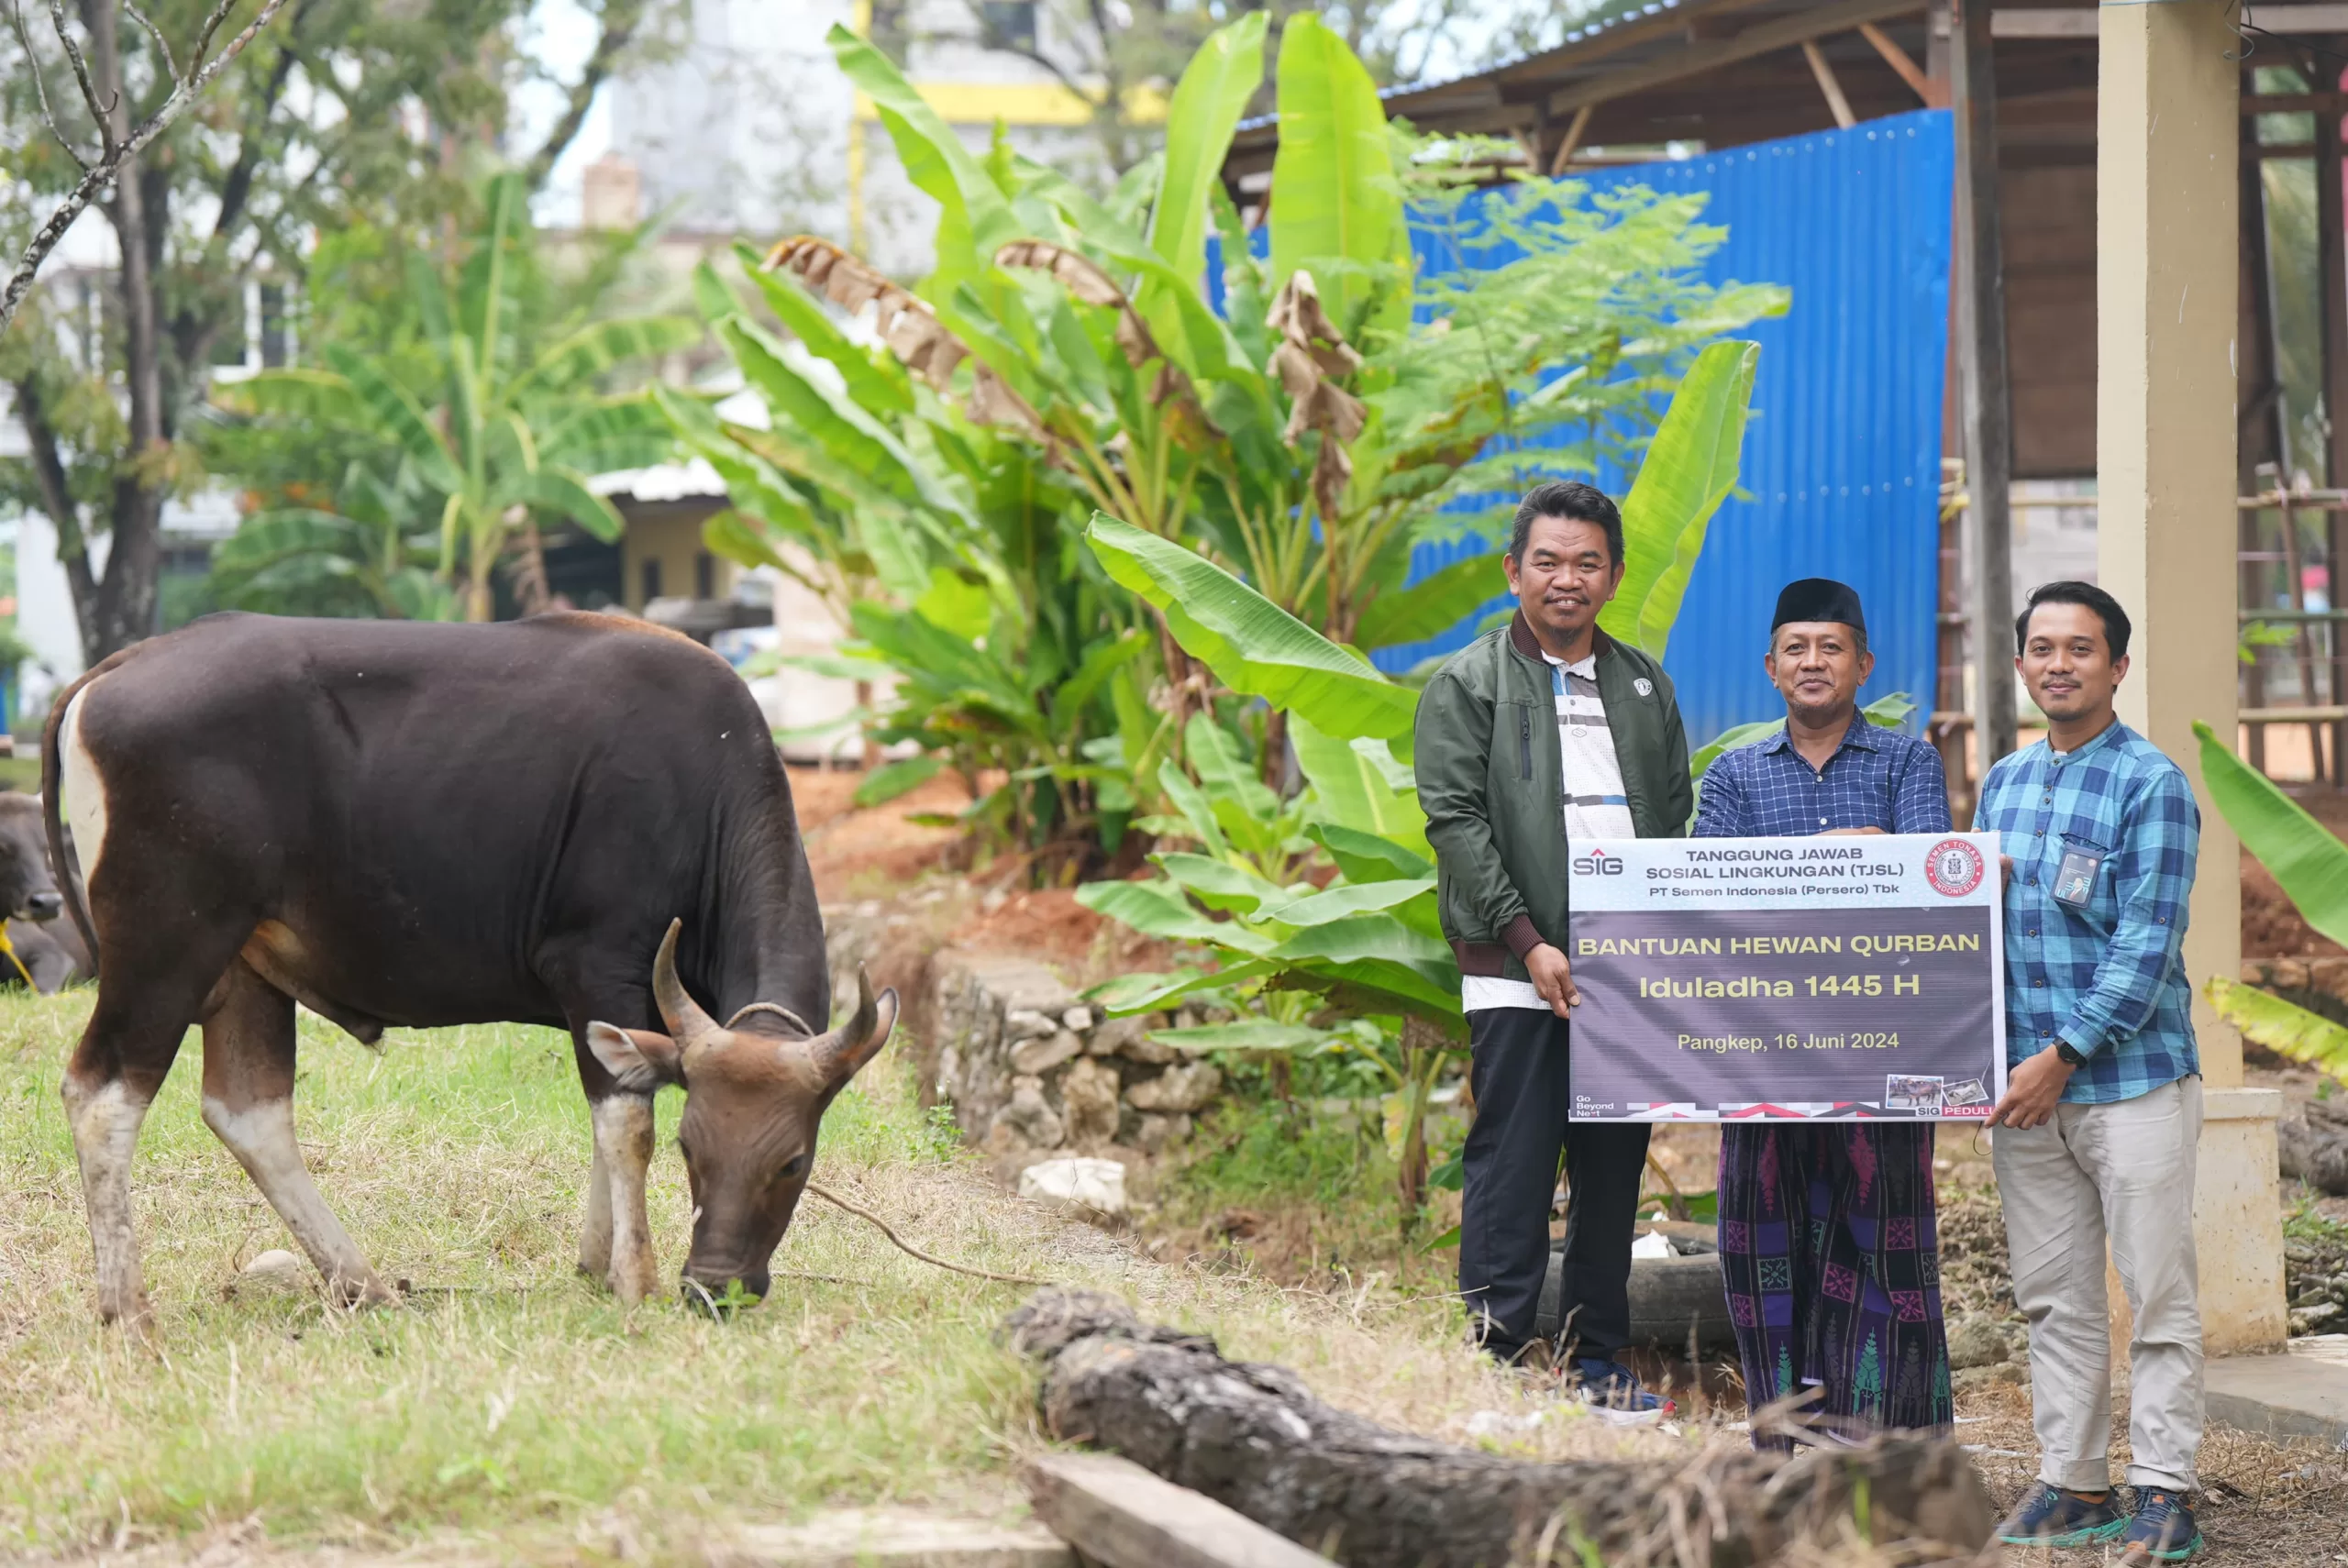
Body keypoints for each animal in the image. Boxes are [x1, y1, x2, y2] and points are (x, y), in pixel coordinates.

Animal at [48, 610, 887, 1323]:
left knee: (249, 1112)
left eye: (793, 1161)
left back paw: (360, 1282)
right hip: (166, 945)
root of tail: (117, 667)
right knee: (103, 1094)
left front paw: (595, 1263)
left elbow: (618, 1106)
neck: (699, 792)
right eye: (693, 1148)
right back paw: (128, 1309)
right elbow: (626, 1122)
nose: (714, 1288)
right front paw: (635, 1278)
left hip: (243, 967)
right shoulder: (596, 964)